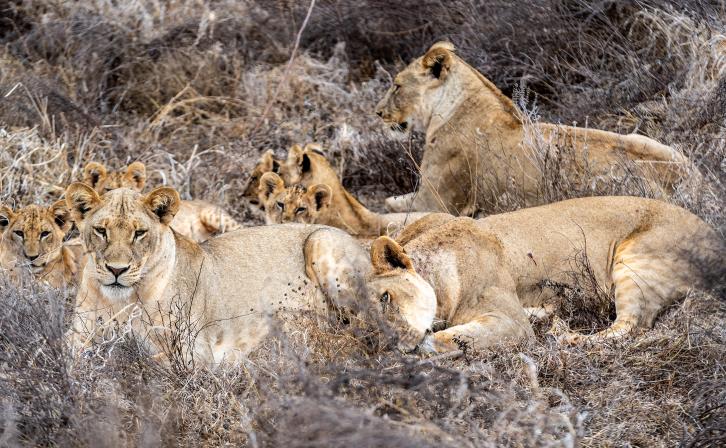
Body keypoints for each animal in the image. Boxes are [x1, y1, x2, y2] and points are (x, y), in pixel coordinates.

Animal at [64, 183, 371, 364]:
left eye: (139, 233)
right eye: (101, 231)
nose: (117, 270)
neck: (120, 301)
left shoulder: (194, 352)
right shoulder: (77, 334)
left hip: (321, 241)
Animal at [364, 196, 721, 353]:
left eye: (386, 298)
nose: (385, 344)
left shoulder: (509, 321)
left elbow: (446, 338)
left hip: (637, 261)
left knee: (631, 326)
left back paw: (567, 335)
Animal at [375, 41, 696, 215]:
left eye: (397, 85)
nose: (377, 112)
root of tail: (688, 181)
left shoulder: (435, 202)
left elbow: (388, 203)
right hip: (647, 139)